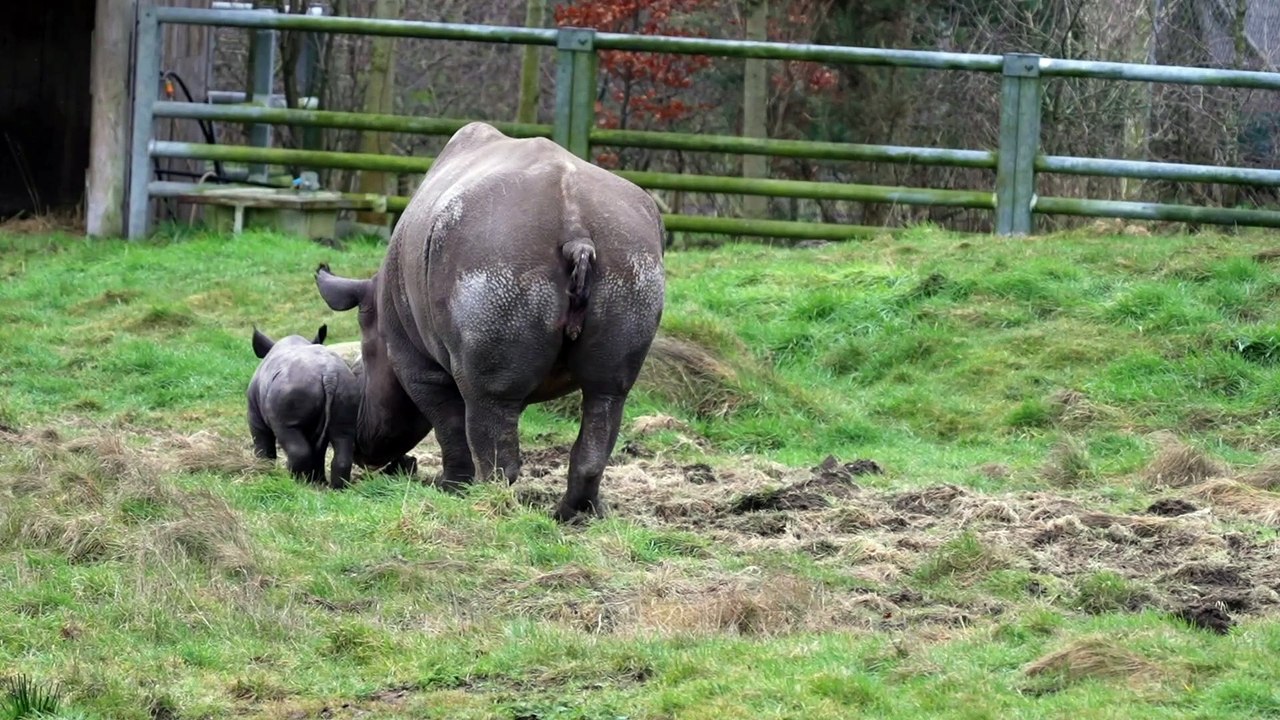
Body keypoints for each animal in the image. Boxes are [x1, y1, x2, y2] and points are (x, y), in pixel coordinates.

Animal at [246, 324, 361, 489]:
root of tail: (329, 375)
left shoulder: (255, 414)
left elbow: (262, 441)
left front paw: (263, 471)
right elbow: (319, 450)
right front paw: (317, 481)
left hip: (293, 388)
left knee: (291, 438)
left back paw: (296, 483)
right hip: (346, 387)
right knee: (343, 434)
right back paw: (336, 488)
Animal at [315, 121, 665, 521]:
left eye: (361, 372)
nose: (363, 451)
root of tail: (575, 225)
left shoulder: (417, 363)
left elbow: (450, 425)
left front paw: (452, 489)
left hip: (493, 254)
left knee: (491, 403)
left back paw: (488, 507)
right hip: (628, 256)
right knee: (607, 393)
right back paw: (577, 515)